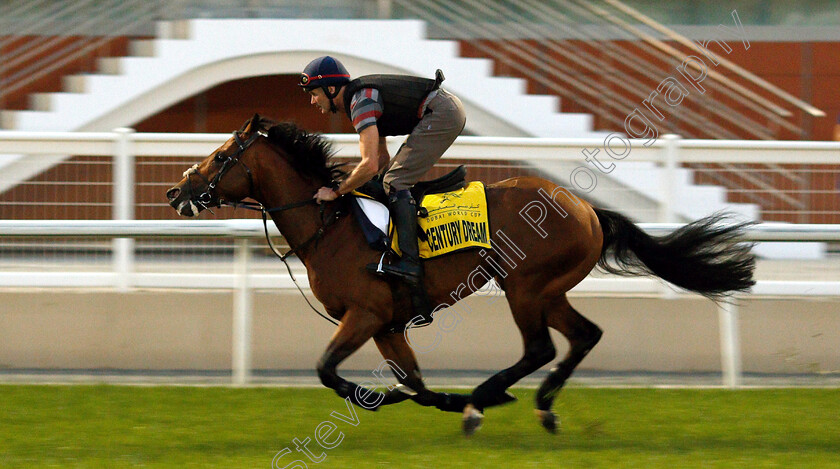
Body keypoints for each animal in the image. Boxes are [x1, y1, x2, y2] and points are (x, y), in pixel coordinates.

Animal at [166, 115, 756, 434]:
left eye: (219, 156)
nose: (176, 191)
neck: (328, 224)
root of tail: (586, 206)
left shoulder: (366, 314)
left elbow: (328, 371)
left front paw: (412, 400)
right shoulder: (389, 325)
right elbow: (416, 384)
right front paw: (425, 398)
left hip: (524, 285)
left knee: (540, 347)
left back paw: (486, 397)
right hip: (550, 289)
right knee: (584, 335)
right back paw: (540, 405)